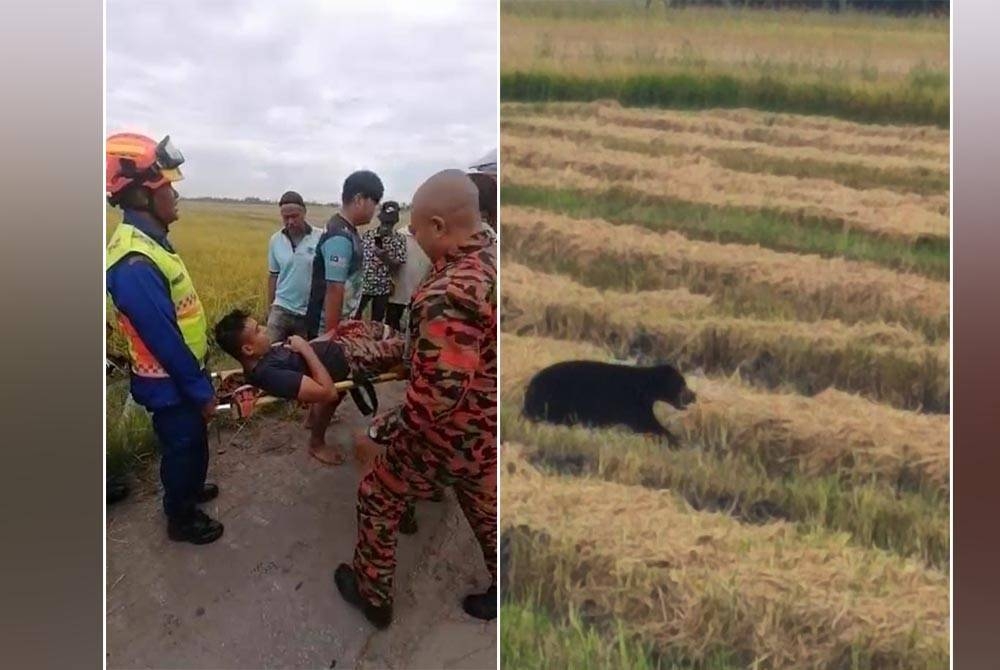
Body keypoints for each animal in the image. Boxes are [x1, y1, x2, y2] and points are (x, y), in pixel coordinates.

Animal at [524, 362, 696, 440]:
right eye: (683, 384)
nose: (694, 395)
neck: (646, 387)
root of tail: (530, 386)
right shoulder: (634, 405)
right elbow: (649, 424)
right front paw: (676, 440)